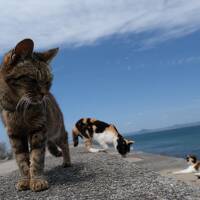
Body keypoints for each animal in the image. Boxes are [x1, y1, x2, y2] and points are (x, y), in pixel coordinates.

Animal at [0, 38, 71, 191]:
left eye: (48, 82)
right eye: (33, 79)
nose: (44, 93)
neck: (18, 107)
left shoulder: (38, 129)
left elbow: (37, 157)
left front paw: (37, 180)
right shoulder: (14, 134)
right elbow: (21, 159)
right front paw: (25, 180)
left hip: (56, 129)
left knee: (64, 141)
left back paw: (67, 161)